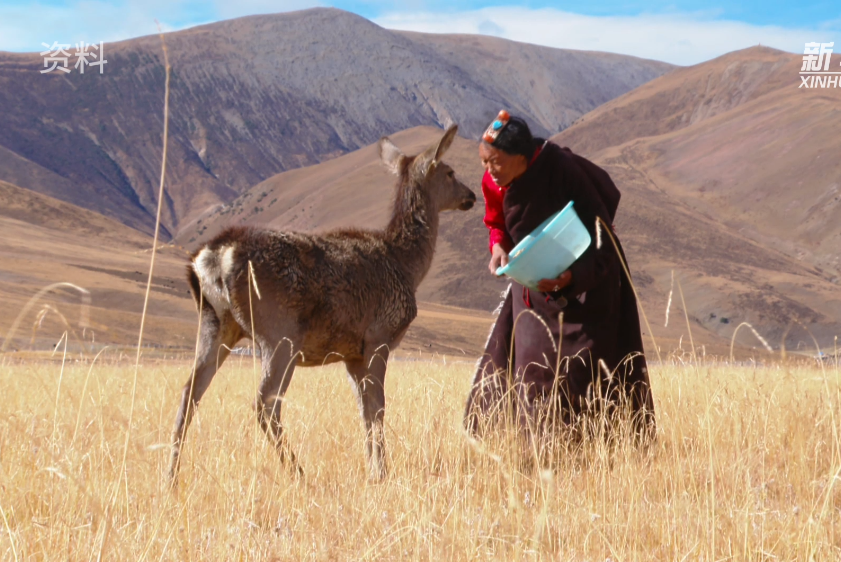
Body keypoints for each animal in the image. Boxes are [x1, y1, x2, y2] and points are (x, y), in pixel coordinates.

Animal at [169, 125, 475, 484]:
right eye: (450, 172)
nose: (471, 195)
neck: (406, 265)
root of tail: (214, 256)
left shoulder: (352, 354)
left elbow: (365, 410)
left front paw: (373, 469)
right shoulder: (379, 335)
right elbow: (379, 406)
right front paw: (382, 473)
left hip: (215, 324)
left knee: (189, 393)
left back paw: (171, 477)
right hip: (279, 331)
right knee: (265, 402)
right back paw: (299, 473)